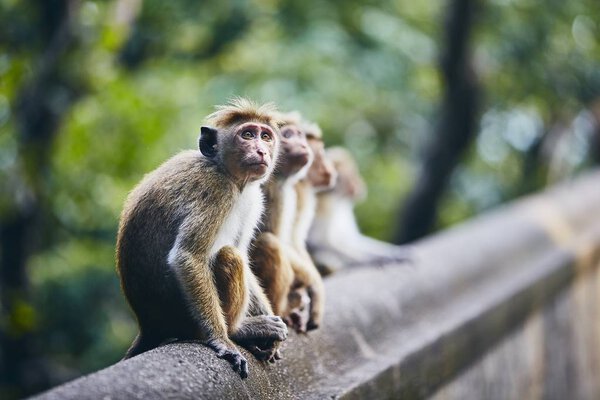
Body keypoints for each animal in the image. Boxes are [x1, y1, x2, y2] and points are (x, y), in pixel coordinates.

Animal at [116, 97, 288, 378]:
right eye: (247, 135)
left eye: (266, 136)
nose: (262, 151)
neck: (226, 172)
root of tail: (149, 326)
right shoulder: (215, 189)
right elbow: (188, 256)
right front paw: (223, 341)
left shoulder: (253, 199)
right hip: (185, 321)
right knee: (229, 256)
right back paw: (239, 330)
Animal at [308, 147, 410, 276]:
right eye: (351, 178)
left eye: (355, 173)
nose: (360, 184)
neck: (337, 200)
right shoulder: (322, 209)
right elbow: (318, 244)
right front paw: (370, 260)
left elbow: (351, 239)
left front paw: (392, 251)